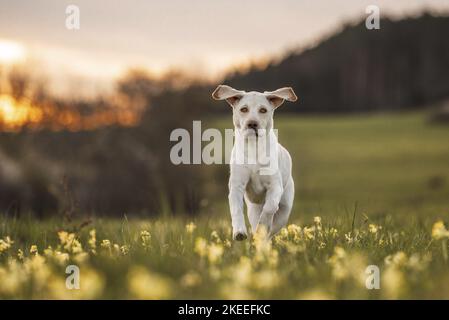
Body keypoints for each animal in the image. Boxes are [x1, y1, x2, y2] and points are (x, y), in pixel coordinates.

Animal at [211, 85, 296, 240]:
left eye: (263, 110)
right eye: (244, 109)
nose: (252, 123)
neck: (253, 147)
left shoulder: (275, 187)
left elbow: (269, 208)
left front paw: (262, 228)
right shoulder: (236, 186)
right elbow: (236, 209)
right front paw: (239, 232)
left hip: (284, 209)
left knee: (273, 225)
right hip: (253, 209)